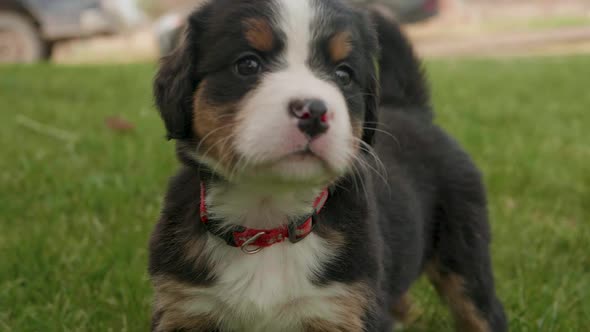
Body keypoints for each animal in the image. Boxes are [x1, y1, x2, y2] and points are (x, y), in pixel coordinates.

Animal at [148, 0, 508, 330]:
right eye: (248, 64)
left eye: (343, 74)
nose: (314, 111)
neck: (268, 219)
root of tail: (411, 109)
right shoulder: (183, 307)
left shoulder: (345, 307)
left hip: (463, 253)